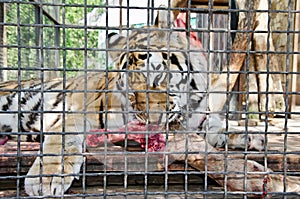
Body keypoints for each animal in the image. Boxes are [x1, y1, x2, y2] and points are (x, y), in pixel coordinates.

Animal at [0, 8, 264, 196]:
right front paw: (45, 178)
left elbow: (216, 125)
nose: (152, 120)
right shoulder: (79, 110)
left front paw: (250, 136)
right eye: (132, 92)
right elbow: (62, 140)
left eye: (158, 78)